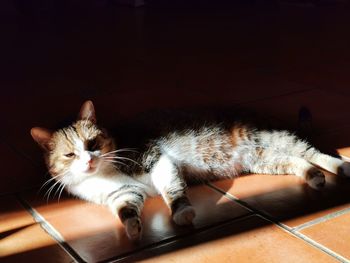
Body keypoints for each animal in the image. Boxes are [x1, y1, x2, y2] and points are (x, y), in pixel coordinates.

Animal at [30, 100, 350, 241]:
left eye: (93, 143)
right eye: (70, 154)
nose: (88, 160)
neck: (103, 174)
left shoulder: (156, 159)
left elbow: (173, 190)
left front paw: (182, 213)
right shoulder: (122, 193)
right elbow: (126, 209)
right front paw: (133, 228)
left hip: (269, 138)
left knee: (311, 151)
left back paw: (341, 166)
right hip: (263, 159)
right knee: (297, 161)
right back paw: (314, 177)